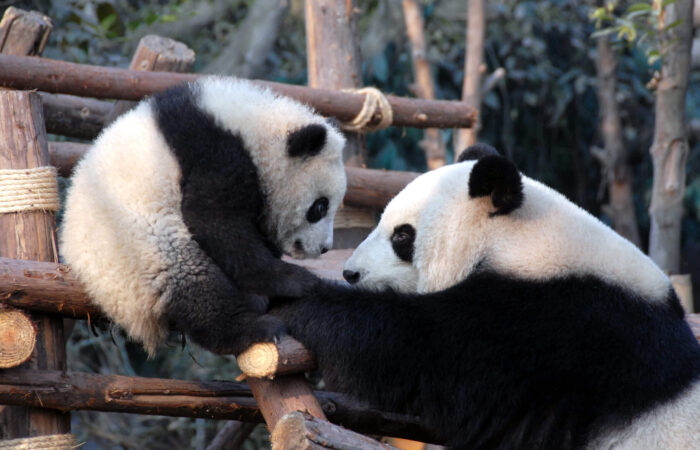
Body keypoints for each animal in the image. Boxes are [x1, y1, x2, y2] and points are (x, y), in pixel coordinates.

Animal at [60, 77, 346, 357]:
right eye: (320, 207)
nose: (324, 248)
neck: (259, 128)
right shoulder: (215, 153)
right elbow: (213, 220)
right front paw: (296, 281)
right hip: (136, 243)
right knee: (193, 282)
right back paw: (253, 328)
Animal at [271, 144, 700, 449]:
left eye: (403, 236)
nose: (351, 273)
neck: (525, 238)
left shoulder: (551, 327)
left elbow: (414, 350)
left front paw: (294, 301)